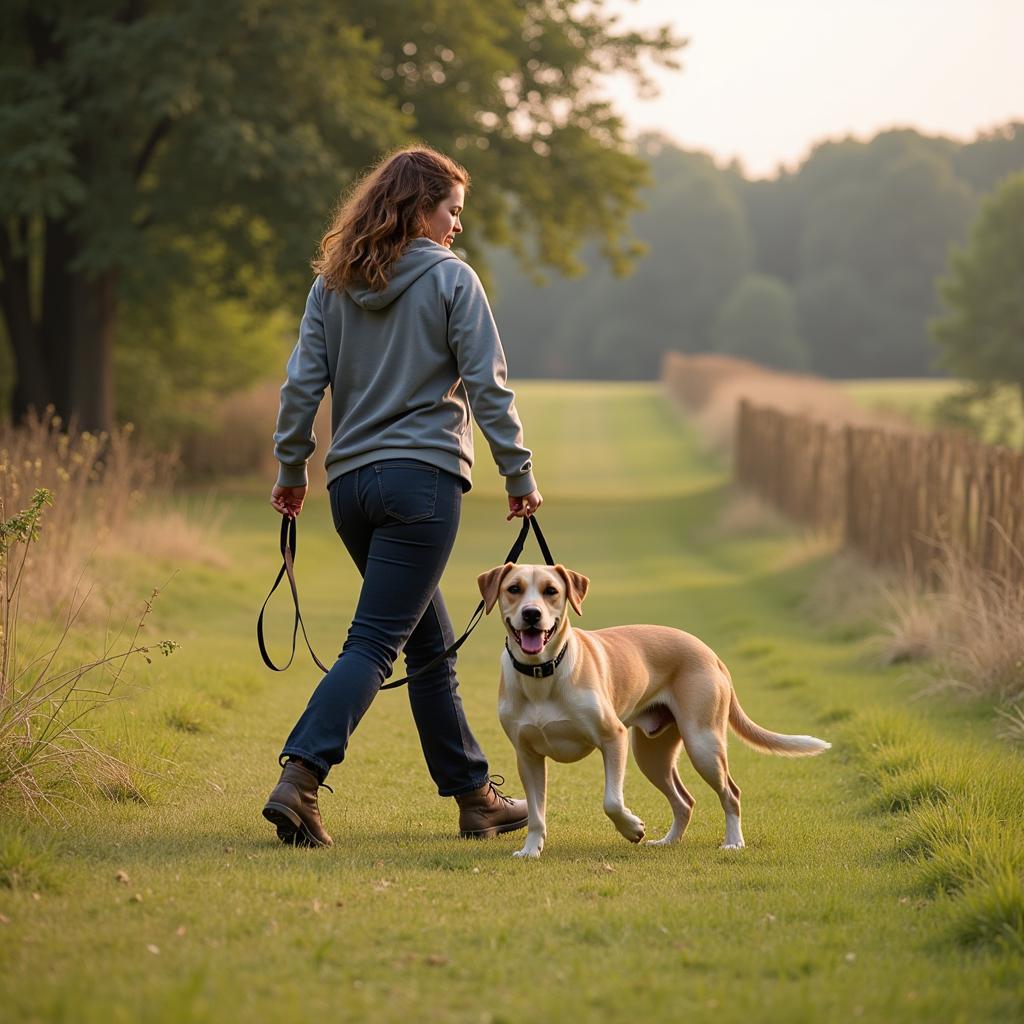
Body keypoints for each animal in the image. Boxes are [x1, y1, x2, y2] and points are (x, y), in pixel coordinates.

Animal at [479, 565, 831, 860]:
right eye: (514, 588)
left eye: (551, 590)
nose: (532, 614)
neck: (542, 674)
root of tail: (710, 653)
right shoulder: (527, 756)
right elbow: (537, 813)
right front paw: (530, 850)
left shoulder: (613, 738)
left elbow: (612, 801)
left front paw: (631, 828)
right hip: (652, 755)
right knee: (685, 801)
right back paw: (668, 842)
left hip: (702, 743)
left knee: (731, 793)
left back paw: (733, 842)